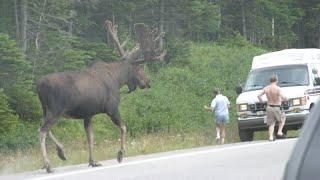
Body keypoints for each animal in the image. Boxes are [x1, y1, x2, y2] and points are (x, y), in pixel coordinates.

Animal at [37, 20, 166, 173]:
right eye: (139, 68)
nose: (148, 81)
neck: (118, 79)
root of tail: (39, 85)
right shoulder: (112, 108)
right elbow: (124, 127)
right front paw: (120, 154)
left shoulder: (88, 115)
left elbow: (90, 137)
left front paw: (93, 161)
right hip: (56, 110)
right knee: (42, 131)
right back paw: (48, 164)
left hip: (46, 110)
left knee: (44, 129)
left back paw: (61, 151)